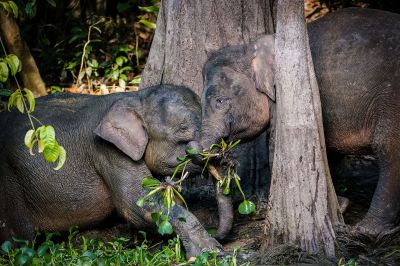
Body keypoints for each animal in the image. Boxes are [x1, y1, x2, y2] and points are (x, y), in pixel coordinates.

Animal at [0, 84, 222, 256]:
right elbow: (135, 203)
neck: (134, 97)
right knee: (19, 239)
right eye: (183, 131)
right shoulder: (108, 151)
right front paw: (212, 252)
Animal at [197, 7, 400, 237]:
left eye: (220, 101)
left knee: (389, 149)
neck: (250, 47)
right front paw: (340, 206)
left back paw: (367, 231)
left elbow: (278, 148)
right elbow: (325, 150)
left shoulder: (287, 95)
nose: (213, 233)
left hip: (391, 99)